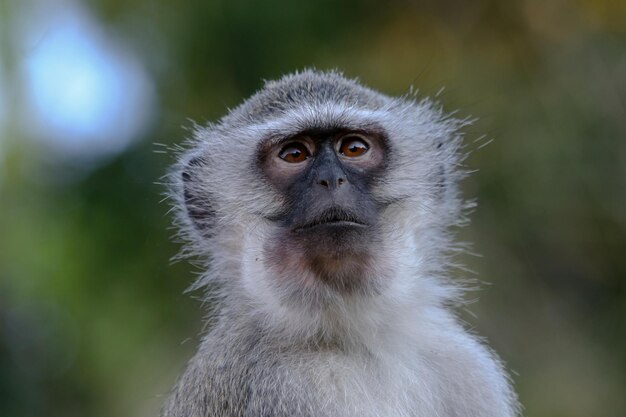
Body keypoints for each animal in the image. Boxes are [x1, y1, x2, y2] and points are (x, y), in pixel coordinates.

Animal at [161, 70, 516, 414]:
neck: (351, 333)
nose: (331, 179)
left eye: (354, 148)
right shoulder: (280, 385)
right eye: (294, 154)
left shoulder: (466, 366)